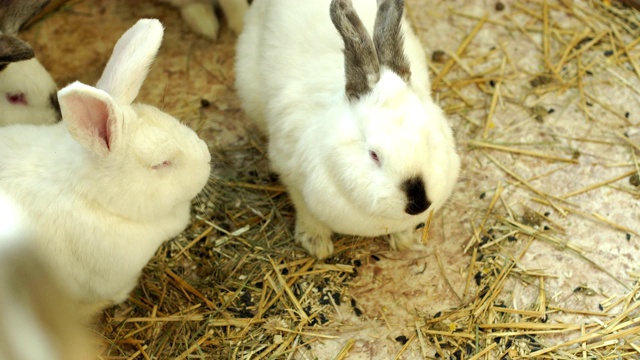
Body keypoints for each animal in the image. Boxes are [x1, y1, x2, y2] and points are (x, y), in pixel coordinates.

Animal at [235, 0, 460, 258]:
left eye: (430, 141)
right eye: (373, 155)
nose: (419, 204)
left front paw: (404, 240)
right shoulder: (291, 173)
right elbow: (307, 212)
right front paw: (316, 245)